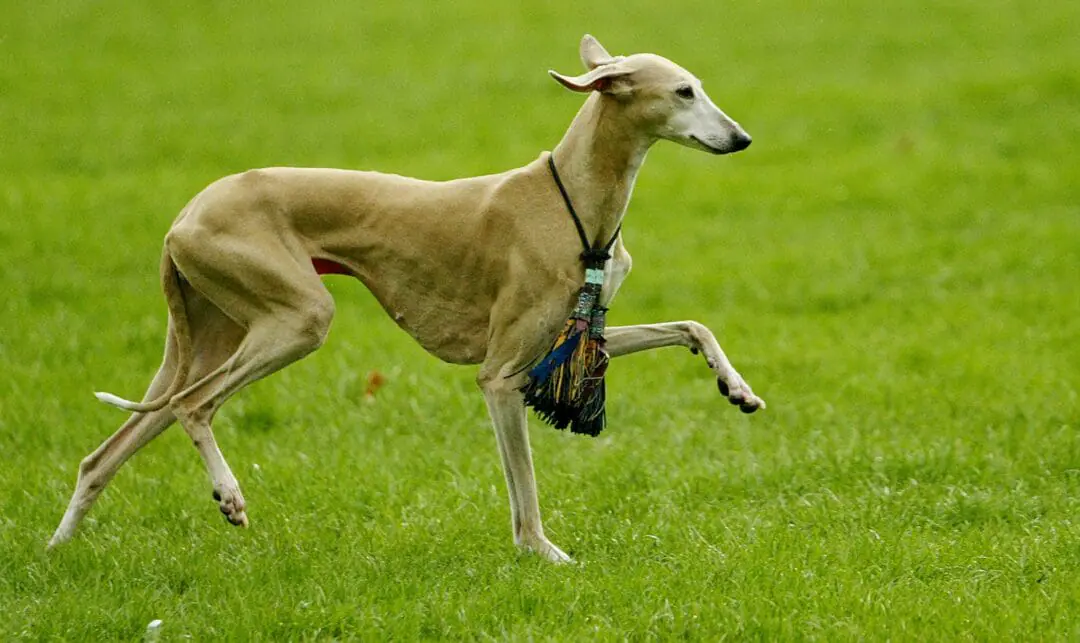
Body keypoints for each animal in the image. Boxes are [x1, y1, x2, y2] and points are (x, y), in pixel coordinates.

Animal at [48, 35, 760, 561]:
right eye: (684, 91)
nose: (743, 139)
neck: (576, 199)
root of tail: (184, 216)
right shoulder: (501, 375)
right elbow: (524, 486)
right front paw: (543, 554)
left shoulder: (565, 346)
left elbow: (692, 326)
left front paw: (737, 389)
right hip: (297, 318)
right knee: (194, 407)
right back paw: (229, 496)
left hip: (207, 335)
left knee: (104, 454)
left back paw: (57, 550)